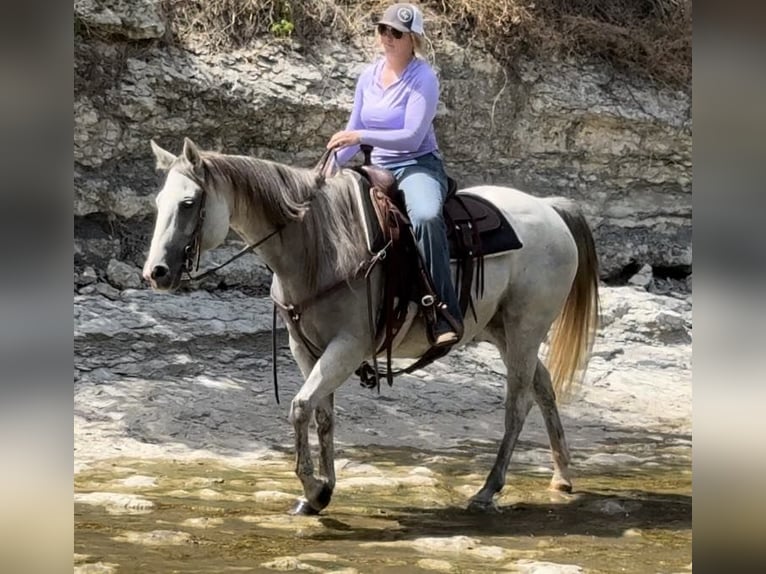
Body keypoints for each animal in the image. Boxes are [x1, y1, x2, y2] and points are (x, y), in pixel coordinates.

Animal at [143, 137, 599, 514]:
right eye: (158, 202)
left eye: (189, 202)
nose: (156, 273)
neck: (317, 245)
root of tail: (549, 209)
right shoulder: (306, 349)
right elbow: (322, 413)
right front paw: (322, 491)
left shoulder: (348, 347)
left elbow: (300, 408)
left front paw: (313, 489)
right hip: (503, 331)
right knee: (543, 388)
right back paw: (562, 476)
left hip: (525, 329)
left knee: (517, 406)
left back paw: (488, 490)